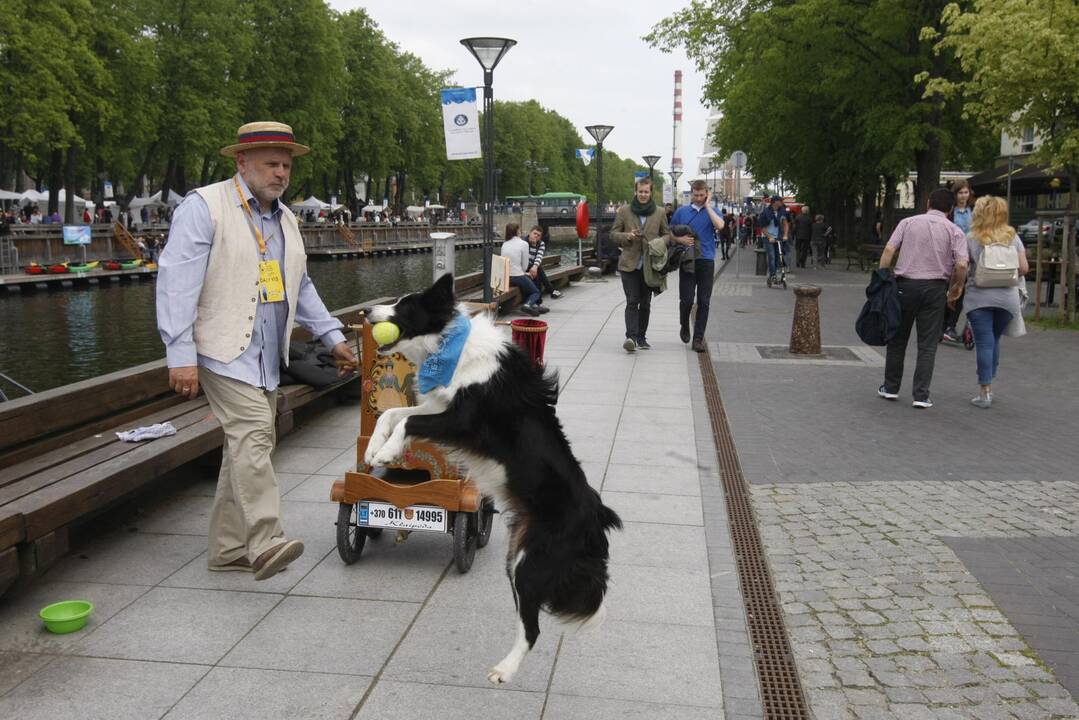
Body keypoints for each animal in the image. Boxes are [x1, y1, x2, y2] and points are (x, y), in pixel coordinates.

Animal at [362, 276, 621, 686]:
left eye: (404, 306)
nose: (365, 311)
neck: (449, 344)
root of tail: (596, 519)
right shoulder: (438, 408)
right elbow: (392, 413)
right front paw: (374, 450)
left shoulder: (463, 422)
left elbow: (408, 421)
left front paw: (387, 454)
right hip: (516, 557)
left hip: (529, 565)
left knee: (532, 629)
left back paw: (505, 670)